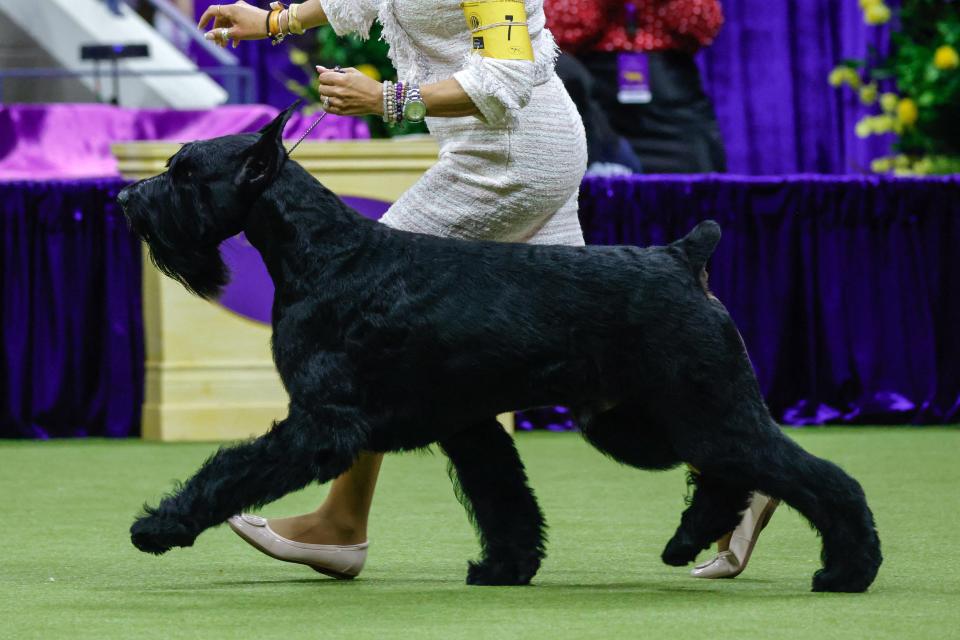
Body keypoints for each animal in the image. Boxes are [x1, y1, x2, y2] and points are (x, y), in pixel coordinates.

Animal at [122, 104, 884, 592]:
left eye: (186, 174)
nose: (130, 200)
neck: (322, 253)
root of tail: (681, 254)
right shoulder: (467, 424)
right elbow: (504, 500)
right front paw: (505, 569)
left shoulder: (323, 424)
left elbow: (232, 470)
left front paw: (160, 525)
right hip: (646, 421)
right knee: (732, 477)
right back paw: (693, 543)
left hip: (702, 408)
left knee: (819, 478)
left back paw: (847, 570)